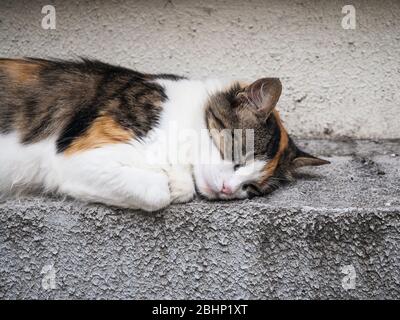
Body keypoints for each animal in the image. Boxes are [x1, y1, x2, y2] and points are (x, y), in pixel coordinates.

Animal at [0, 57, 330, 211]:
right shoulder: (74, 157)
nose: (228, 189)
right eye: (237, 158)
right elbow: (157, 190)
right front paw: (173, 182)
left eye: (251, 188)